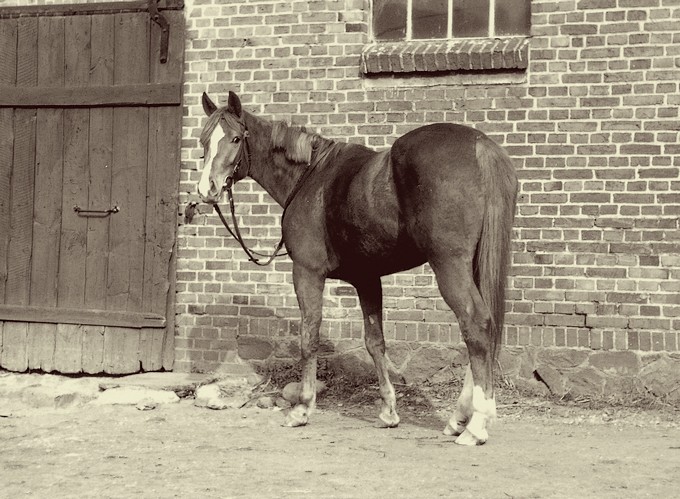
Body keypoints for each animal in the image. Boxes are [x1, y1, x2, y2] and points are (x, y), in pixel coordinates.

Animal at [197, 91, 516, 446]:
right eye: (203, 141)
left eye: (235, 138)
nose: (207, 189)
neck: (310, 177)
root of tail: (481, 146)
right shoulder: (367, 279)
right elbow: (375, 342)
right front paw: (388, 411)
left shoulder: (307, 272)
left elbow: (309, 336)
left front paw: (302, 408)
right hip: (472, 266)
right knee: (483, 330)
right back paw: (460, 418)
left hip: (450, 265)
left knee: (476, 325)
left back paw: (476, 425)